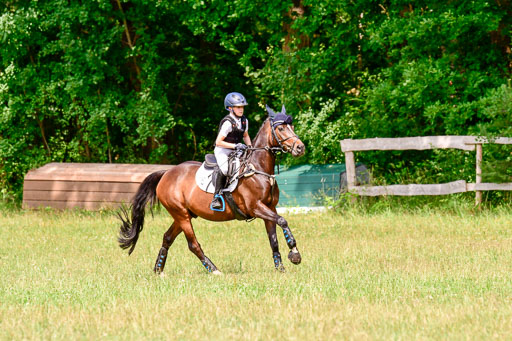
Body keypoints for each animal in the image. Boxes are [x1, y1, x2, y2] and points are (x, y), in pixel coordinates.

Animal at [118, 103, 306, 274]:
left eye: (292, 126)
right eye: (281, 128)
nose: (300, 148)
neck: (257, 168)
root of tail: (166, 174)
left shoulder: (269, 208)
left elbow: (273, 238)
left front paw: (280, 267)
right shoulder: (256, 207)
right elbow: (283, 221)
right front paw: (295, 254)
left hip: (183, 215)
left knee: (167, 237)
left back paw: (158, 270)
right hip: (181, 214)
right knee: (192, 244)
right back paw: (213, 269)